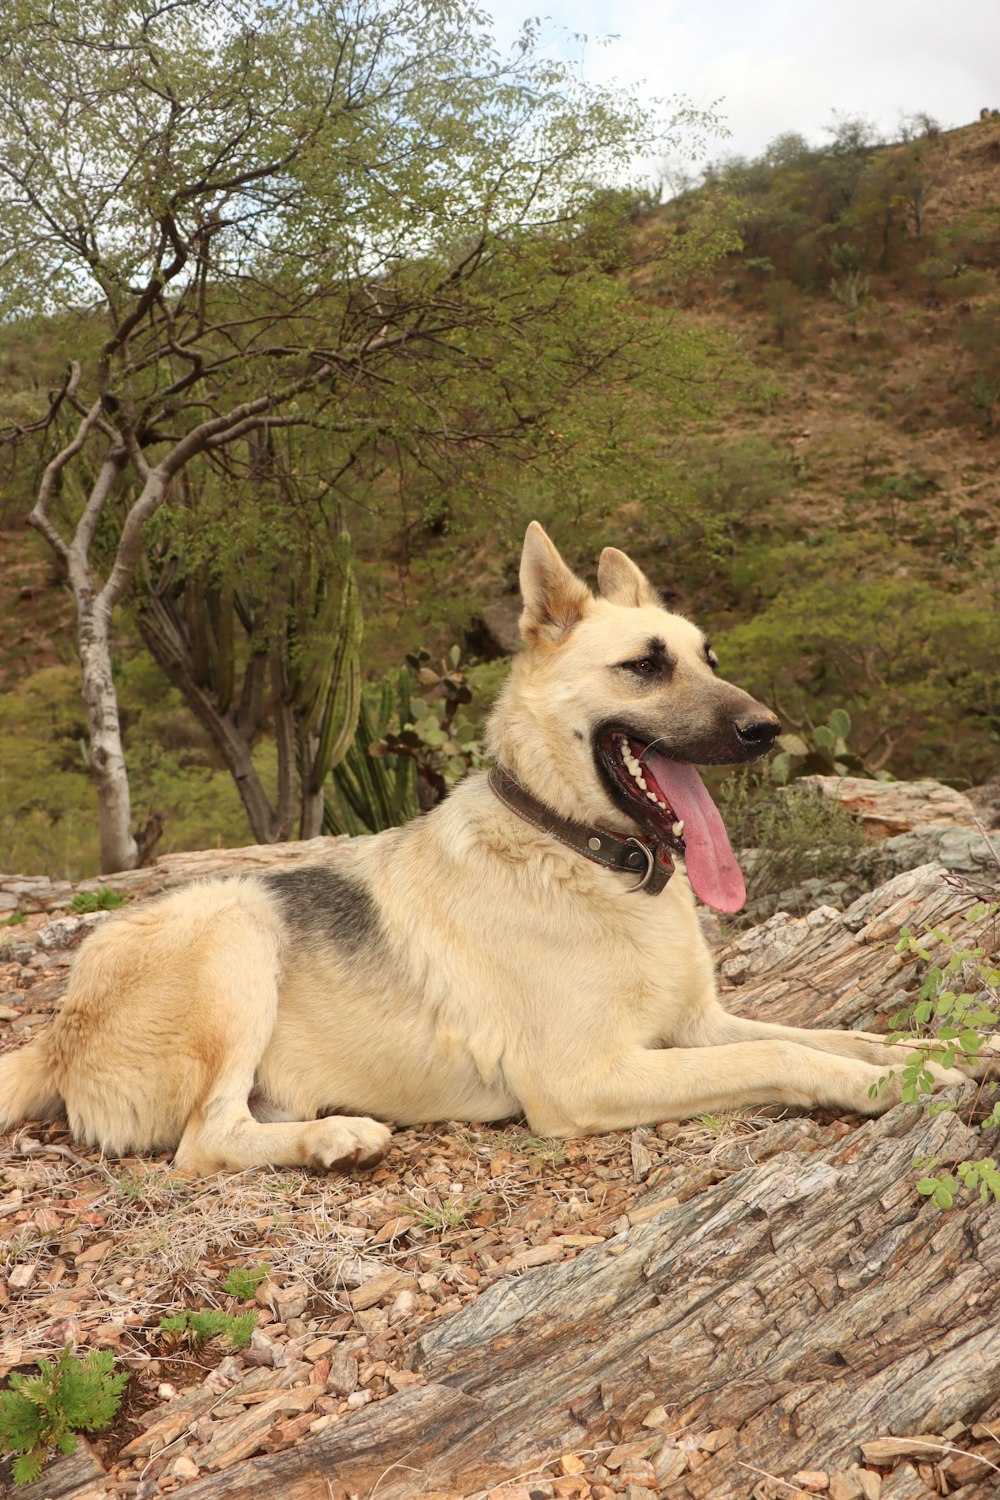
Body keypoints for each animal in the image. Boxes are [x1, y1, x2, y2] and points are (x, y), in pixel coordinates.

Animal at [0, 522, 971, 1176]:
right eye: (646, 666)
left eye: (710, 657)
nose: (767, 729)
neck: (582, 853)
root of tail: (57, 1033)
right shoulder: (587, 1078)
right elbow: (783, 1055)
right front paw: (893, 1090)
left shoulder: (698, 1024)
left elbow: (837, 1033)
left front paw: (929, 1056)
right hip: (236, 926)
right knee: (203, 1144)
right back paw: (336, 1138)